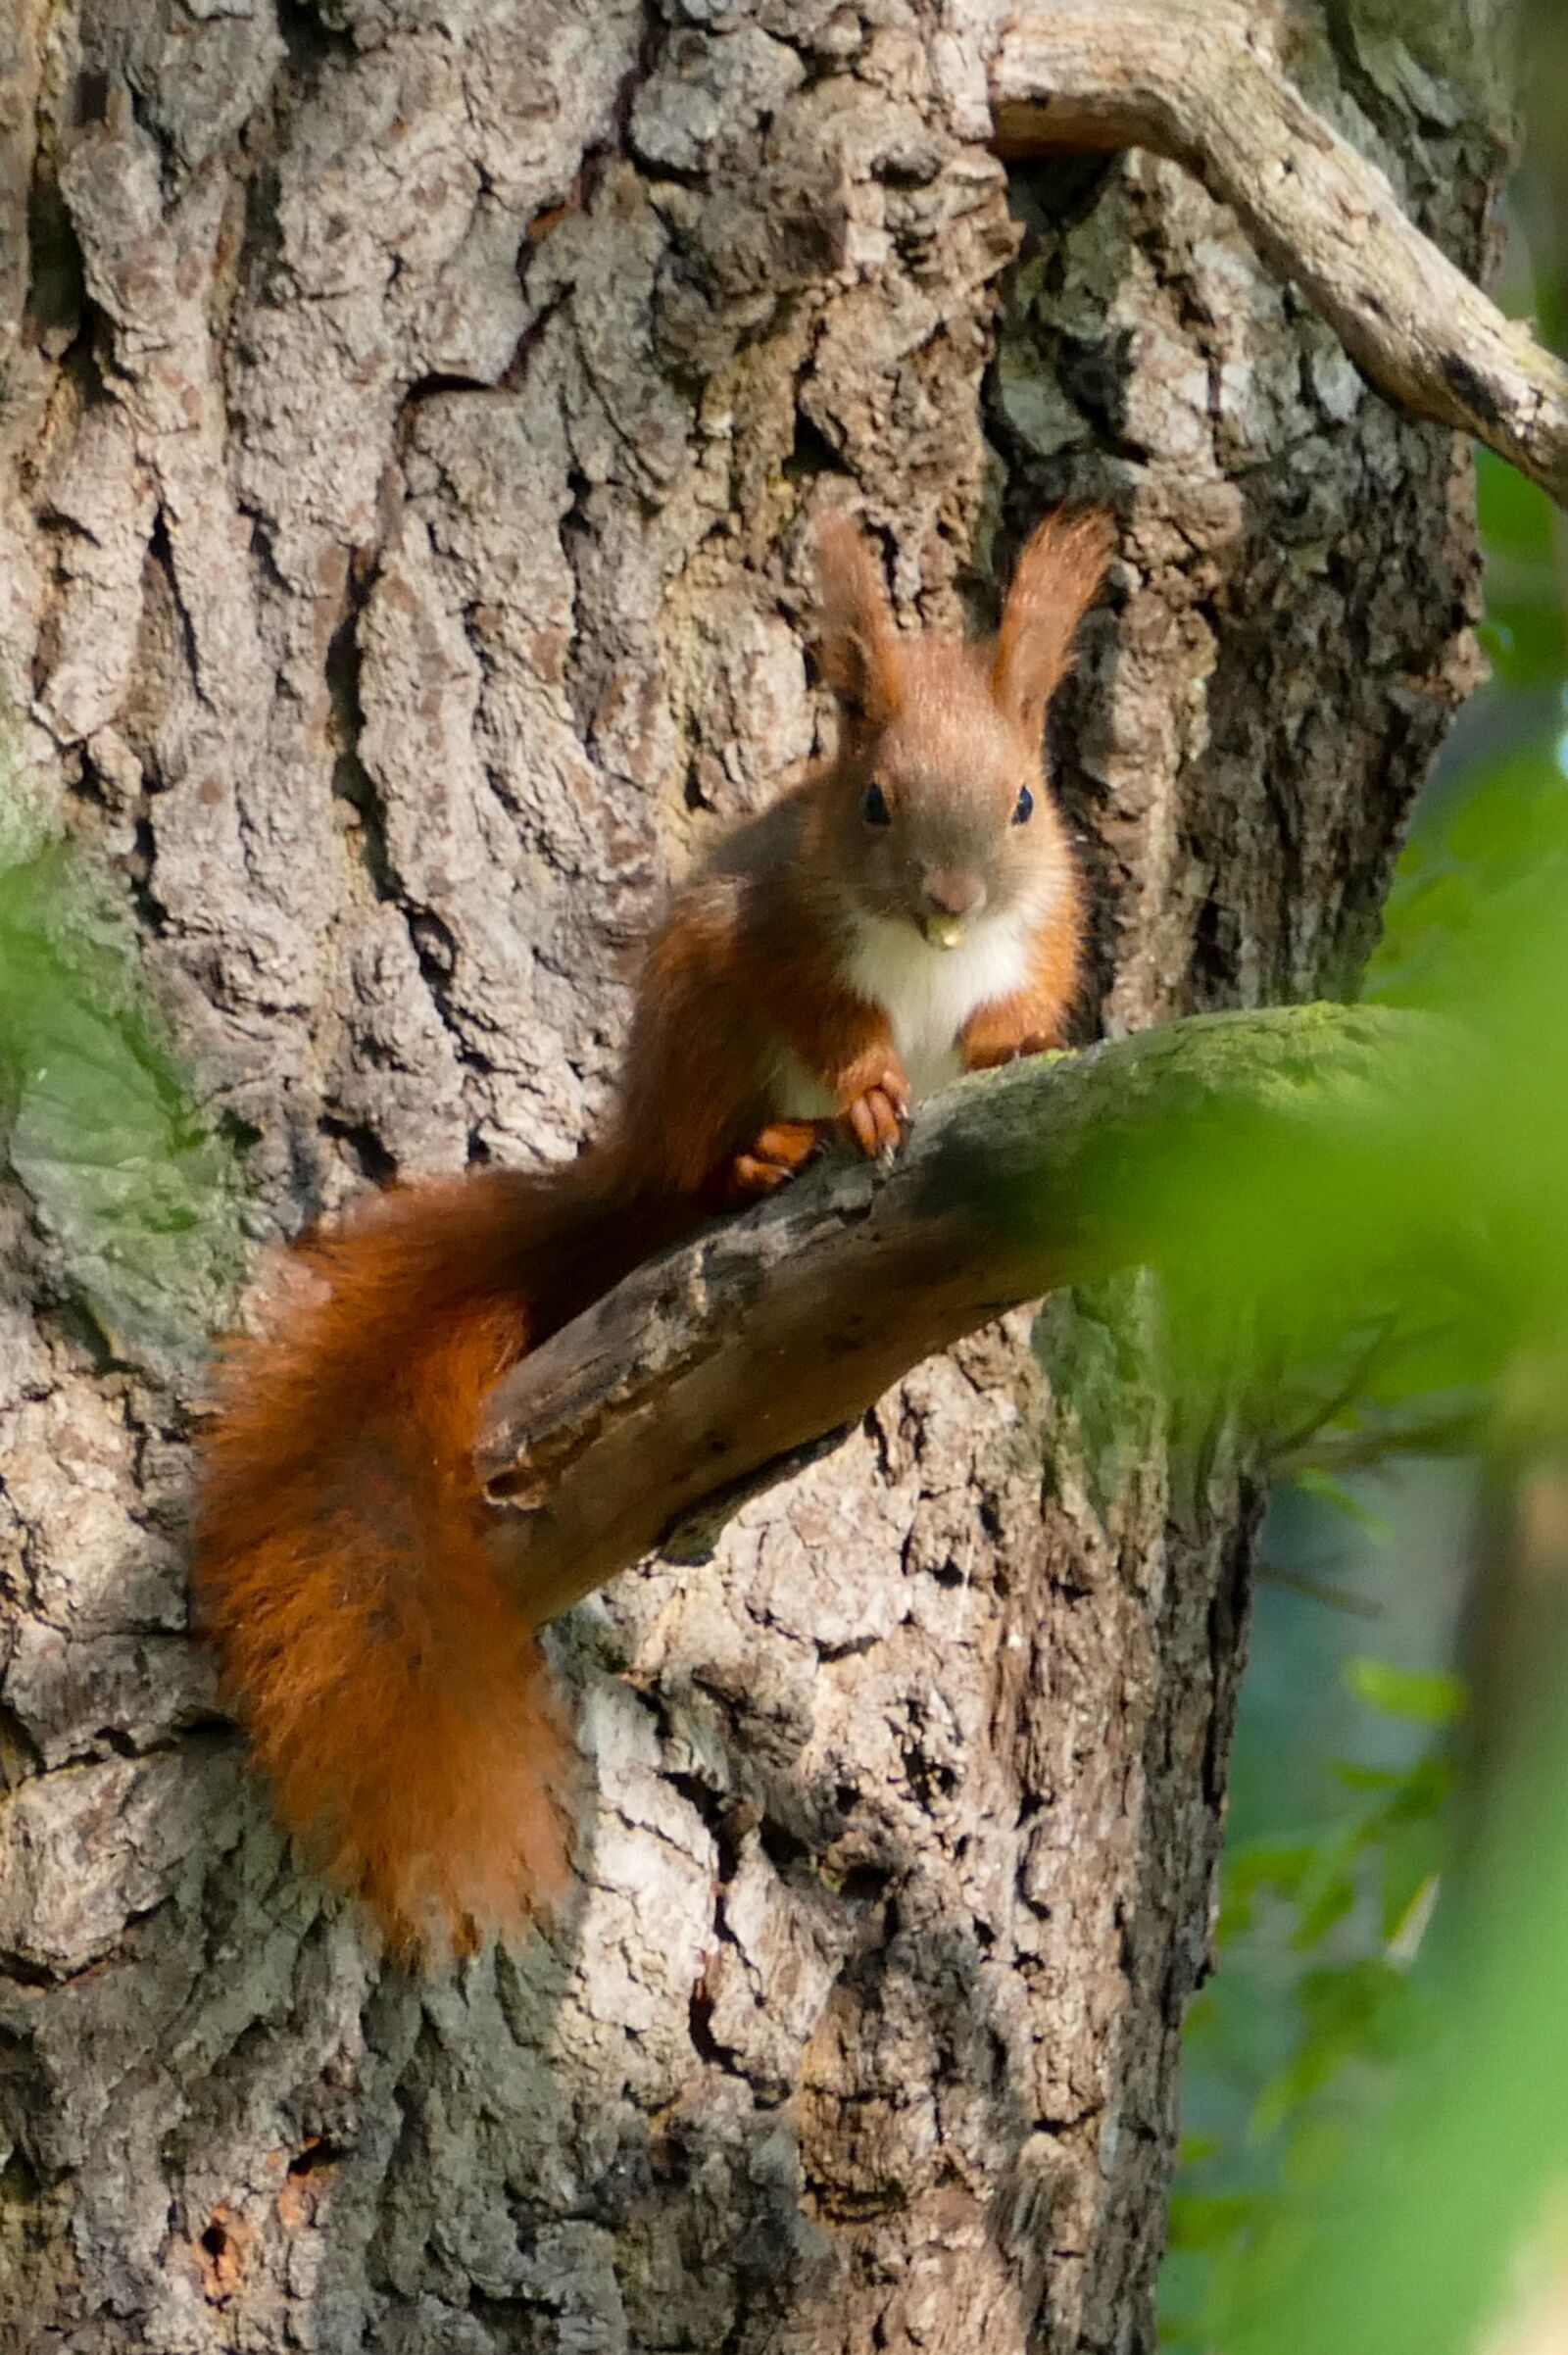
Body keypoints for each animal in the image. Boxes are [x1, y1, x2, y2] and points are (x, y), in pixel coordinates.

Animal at [193, 506, 1115, 1961]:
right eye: (871, 801)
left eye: (1026, 801)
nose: (952, 899)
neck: (927, 958)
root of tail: (629, 1168)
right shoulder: (782, 932)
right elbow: (831, 1018)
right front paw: (867, 1091)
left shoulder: (1050, 913)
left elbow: (1028, 993)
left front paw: (1020, 1041)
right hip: (701, 1028)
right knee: (704, 1160)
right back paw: (764, 1159)